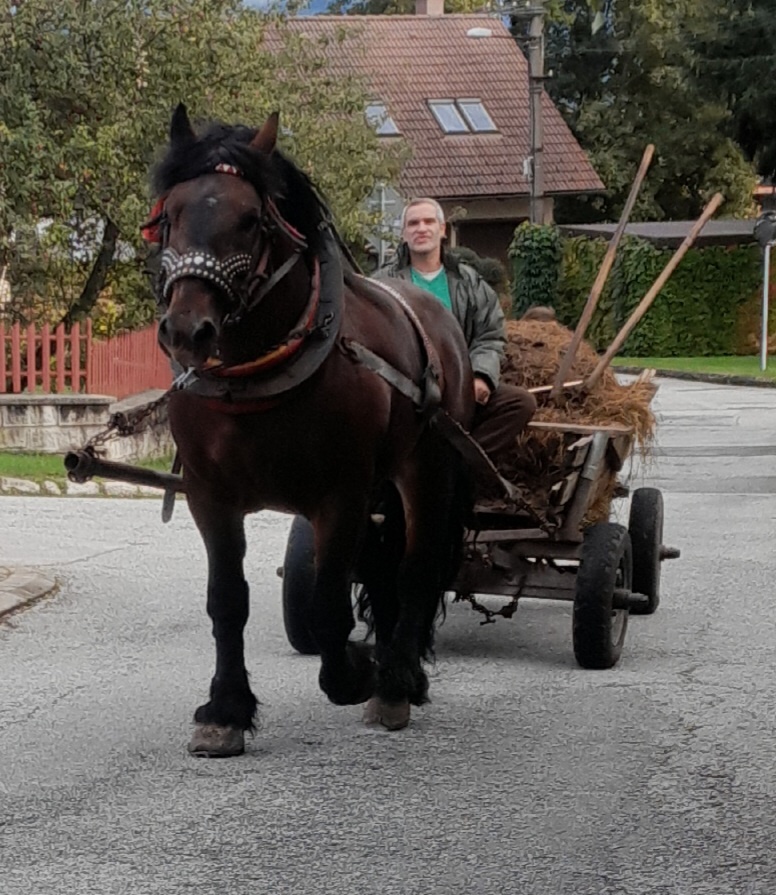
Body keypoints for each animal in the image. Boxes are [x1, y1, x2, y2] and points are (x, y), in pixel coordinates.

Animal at [147, 105, 472, 756]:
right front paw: (226, 710)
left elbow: (326, 605)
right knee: (385, 571)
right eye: (171, 216)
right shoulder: (208, 497)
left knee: (416, 567)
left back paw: (396, 680)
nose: (187, 330)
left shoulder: (340, 496)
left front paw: (355, 672)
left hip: (427, 470)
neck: (258, 372)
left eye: (250, 220)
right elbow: (228, 601)